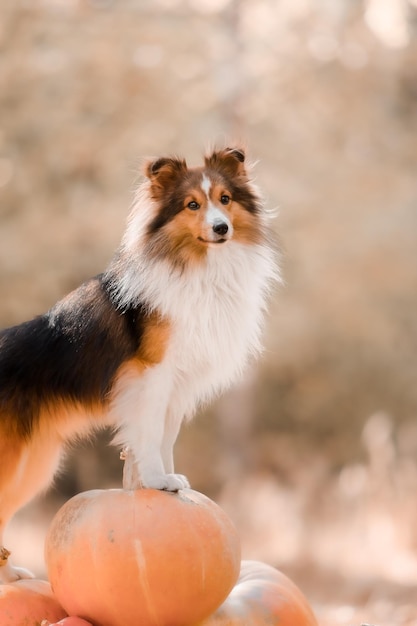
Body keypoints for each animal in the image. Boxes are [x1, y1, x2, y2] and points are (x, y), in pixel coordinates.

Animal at [0, 146, 280, 580]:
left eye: (225, 199)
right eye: (192, 205)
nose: (221, 229)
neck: (197, 266)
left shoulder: (177, 384)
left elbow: (165, 436)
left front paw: (164, 480)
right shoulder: (151, 375)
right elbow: (147, 433)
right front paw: (155, 480)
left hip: (31, 466)